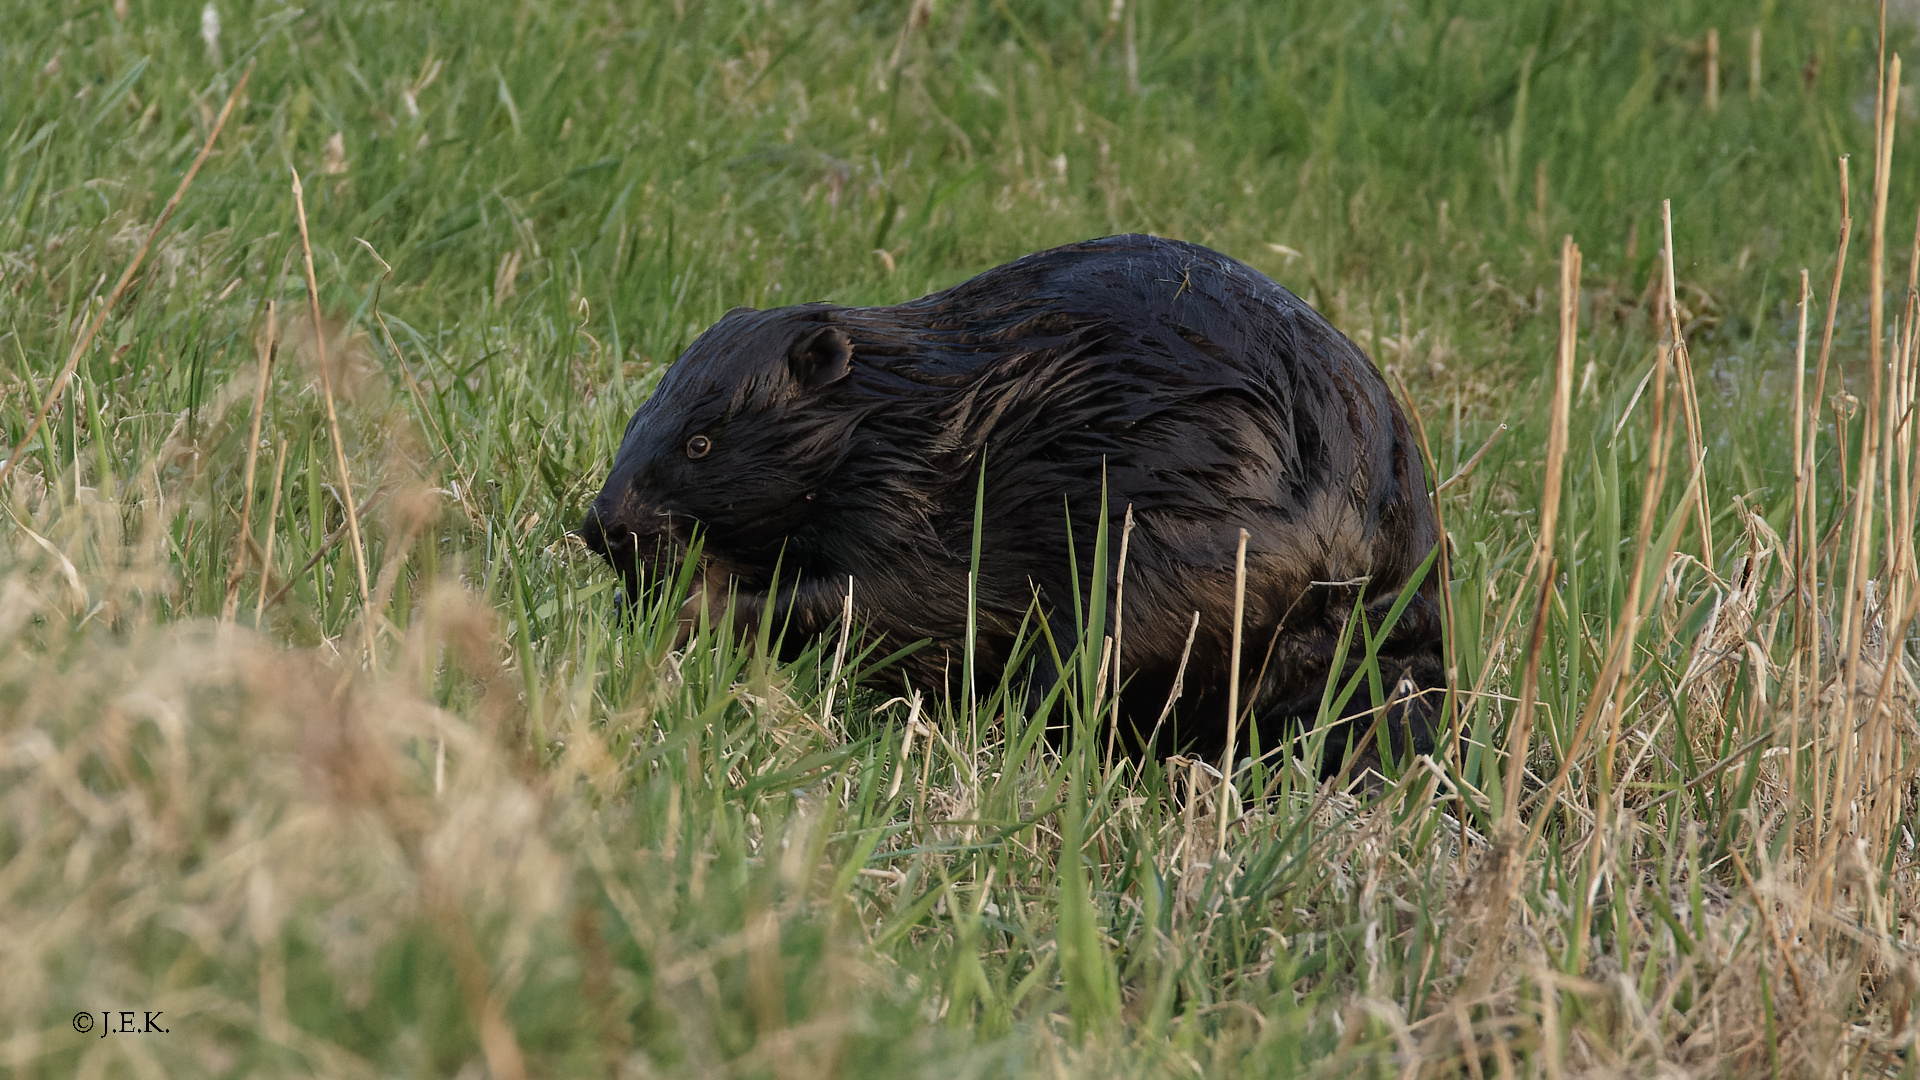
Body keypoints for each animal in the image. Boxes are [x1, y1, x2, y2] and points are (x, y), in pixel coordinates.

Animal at [576, 232, 1443, 768]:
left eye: (700, 444)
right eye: (640, 419)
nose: (600, 527)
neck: (901, 417)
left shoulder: (918, 508)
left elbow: (894, 603)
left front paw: (693, 607)